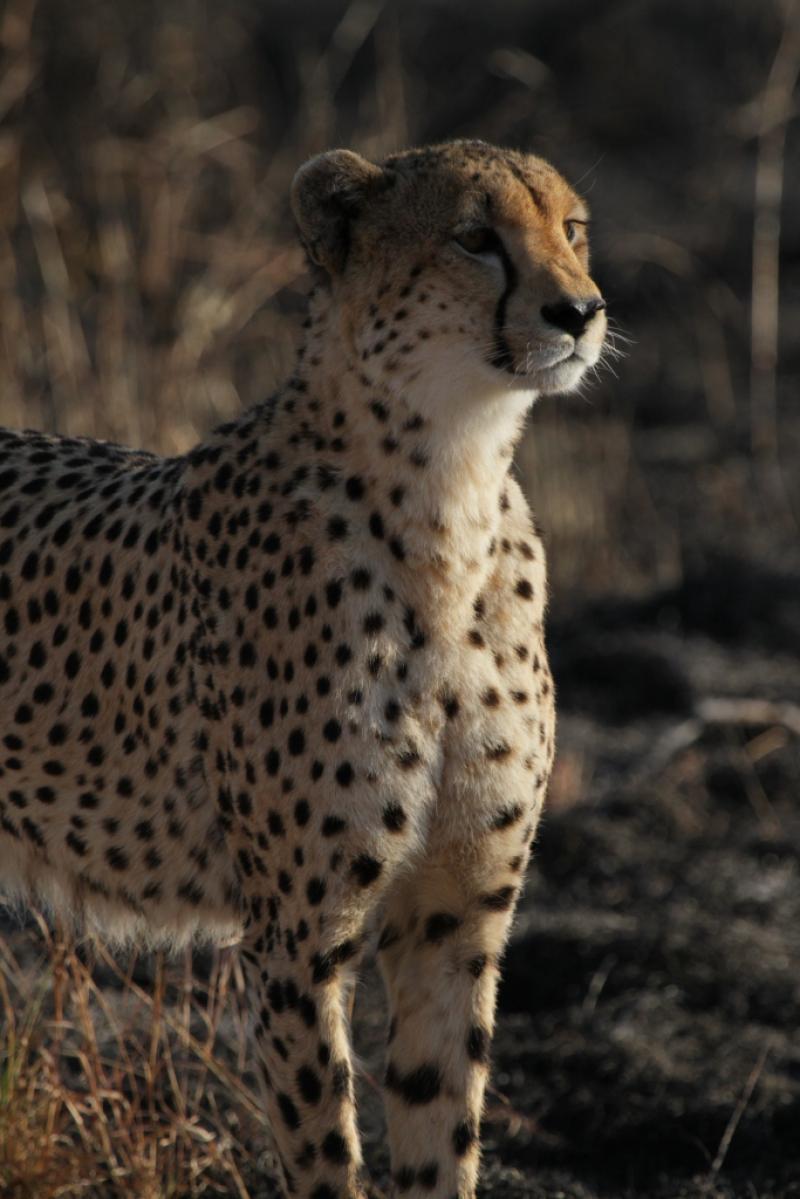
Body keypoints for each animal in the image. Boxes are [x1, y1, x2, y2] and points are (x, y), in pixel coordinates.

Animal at [0, 139, 606, 1198]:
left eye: (570, 229)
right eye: (474, 238)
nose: (581, 310)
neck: (451, 492)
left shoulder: (456, 918)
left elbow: (442, 1129)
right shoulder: (298, 937)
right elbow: (327, 1151)